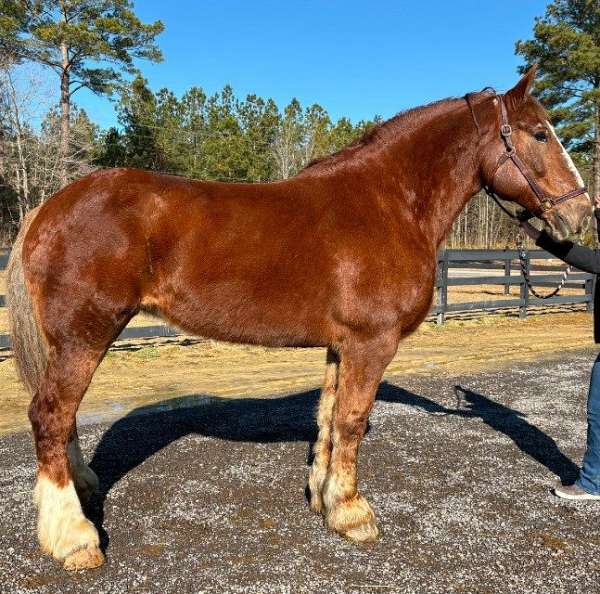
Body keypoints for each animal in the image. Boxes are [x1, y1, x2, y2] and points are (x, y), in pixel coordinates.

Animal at [5, 66, 592, 568]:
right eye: (540, 133)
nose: (581, 212)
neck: (388, 203)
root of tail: (48, 208)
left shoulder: (342, 344)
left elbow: (329, 417)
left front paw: (324, 499)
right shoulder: (372, 343)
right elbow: (353, 421)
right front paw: (354, 515)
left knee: (63, 419)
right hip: (86, 336)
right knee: (51, 416)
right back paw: (75, 538)